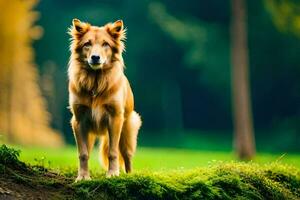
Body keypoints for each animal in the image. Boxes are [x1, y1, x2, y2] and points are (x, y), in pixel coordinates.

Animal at [68, 19, 142, 181]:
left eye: (105, 44)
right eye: (87, 44)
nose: (95, 57)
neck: (95, 83)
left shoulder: (115, 118)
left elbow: (112, 152)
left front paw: (113, 173)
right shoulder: (78, 121)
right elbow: (83, 154)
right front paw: (83, 176)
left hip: (126, 130)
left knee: (127, 155)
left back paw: (129, 174)